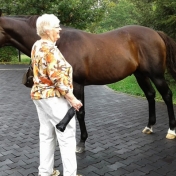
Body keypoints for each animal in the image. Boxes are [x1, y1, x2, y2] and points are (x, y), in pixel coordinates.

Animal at [0, 12, 176, 153]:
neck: (61, 43)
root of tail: (156, 33)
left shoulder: (77, 85)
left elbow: (80, 112)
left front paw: (81, 143)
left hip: (156, 75)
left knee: (167, 95)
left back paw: (171, 130)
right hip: (140, 75)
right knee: (150, 95)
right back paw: (149, 127)